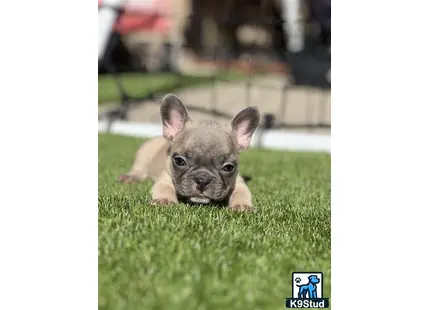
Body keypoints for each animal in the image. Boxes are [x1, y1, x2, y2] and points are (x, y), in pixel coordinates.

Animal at [117, 93, 260, 212]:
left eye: (228, 167)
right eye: (179, 161)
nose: (202, 180)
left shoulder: (239, 183)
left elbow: (242, 193)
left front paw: (242, 205)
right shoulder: (165, 178)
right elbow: (164, 188)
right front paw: (164, 200)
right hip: (144, 154)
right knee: (139, 170)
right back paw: (131, 177)